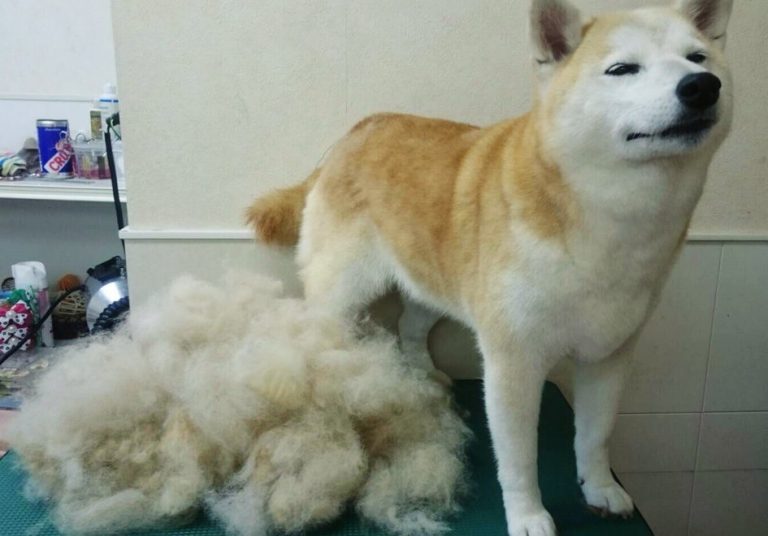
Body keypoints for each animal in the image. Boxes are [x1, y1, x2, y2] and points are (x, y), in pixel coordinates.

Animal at [249, 2, 736, 532]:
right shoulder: (514, 362)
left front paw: (601, 489)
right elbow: (520, 459)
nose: (701, 86)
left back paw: (424, 376)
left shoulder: (609, 355)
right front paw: (528, 516)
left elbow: (595, 435)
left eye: (698, 57)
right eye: (623, 69)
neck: (614, 224)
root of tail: (353, 132)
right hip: (342, 290)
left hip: (436, 281)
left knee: (410, 326)